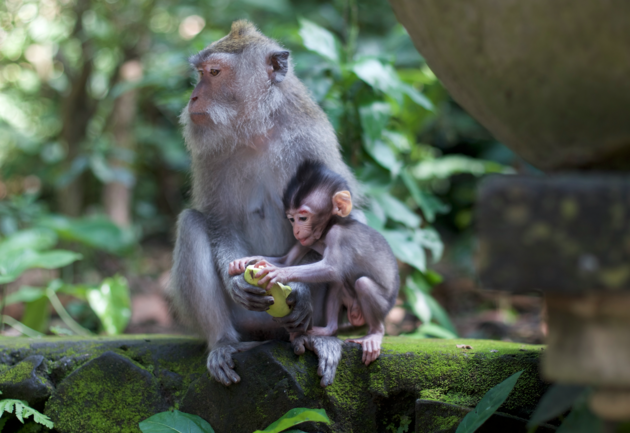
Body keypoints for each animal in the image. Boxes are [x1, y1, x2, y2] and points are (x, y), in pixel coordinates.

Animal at [173, 20, 360, 386]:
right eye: (200, 73)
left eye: (214, 72)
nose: (193, 98)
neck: (257, 128)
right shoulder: (210, 154)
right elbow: (218, 220)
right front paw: (233, 278)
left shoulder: (311, 141)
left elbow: (335, 214)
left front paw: (299, 288)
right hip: (246, 320)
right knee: (191, 224)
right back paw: (223, 343)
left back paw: (315, 337)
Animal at [231, 161, 400, 364]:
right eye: (291, 218)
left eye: (303, 218)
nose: (296, 230)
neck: (327, 230)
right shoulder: (307, 240)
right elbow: (287, 260)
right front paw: (242, 262)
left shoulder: (336, 235)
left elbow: (332, 269)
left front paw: (278, 273)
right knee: (338, 283)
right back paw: (328, 330)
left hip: (384, 305)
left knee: (362, 283)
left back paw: (375, 333)